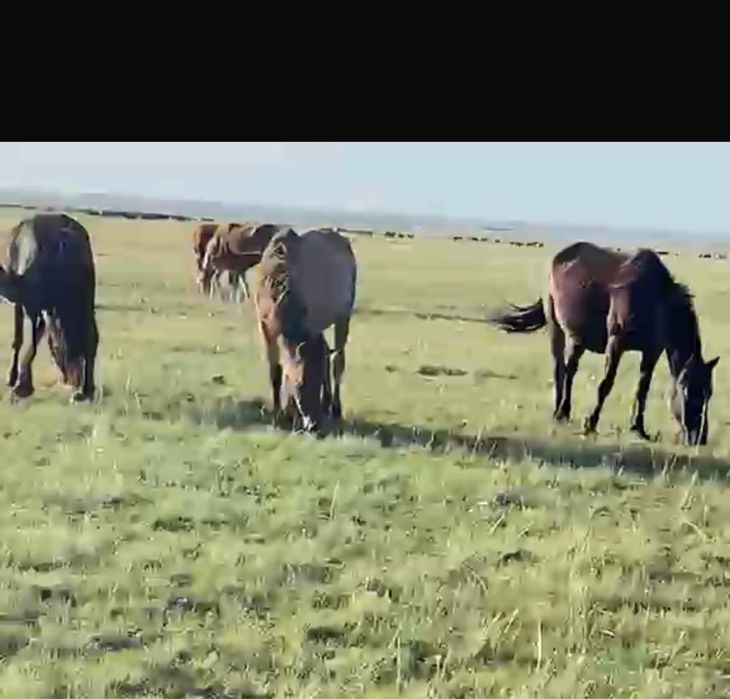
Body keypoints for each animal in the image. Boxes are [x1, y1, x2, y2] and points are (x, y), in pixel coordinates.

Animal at [0, 212, 99, 403]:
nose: (73, 380)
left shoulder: (32, 305)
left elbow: (26, 341)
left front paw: (20, 385)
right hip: (83, 302)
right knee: (90, 335)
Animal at [252, 227, 356, 433]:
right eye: (300, 384)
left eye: (316, 386)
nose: (314, 425)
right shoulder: (266, 328)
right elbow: (277, 371)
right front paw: (280, 415)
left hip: (343, 317)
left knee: (337, 361)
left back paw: (334, 408)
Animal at [489, 241, 719, 446]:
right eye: (688, 391)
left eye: (709, 393)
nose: (699, 438)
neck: (654, 300)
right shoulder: (616, 343)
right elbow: (606, 384)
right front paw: (590, 424)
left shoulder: (651, 352)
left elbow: (642, 389)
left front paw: (639, 428)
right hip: (556, 326)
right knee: (559, 368)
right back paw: (557, 412)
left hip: (578, 338)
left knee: (570, 370)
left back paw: (565, 411)